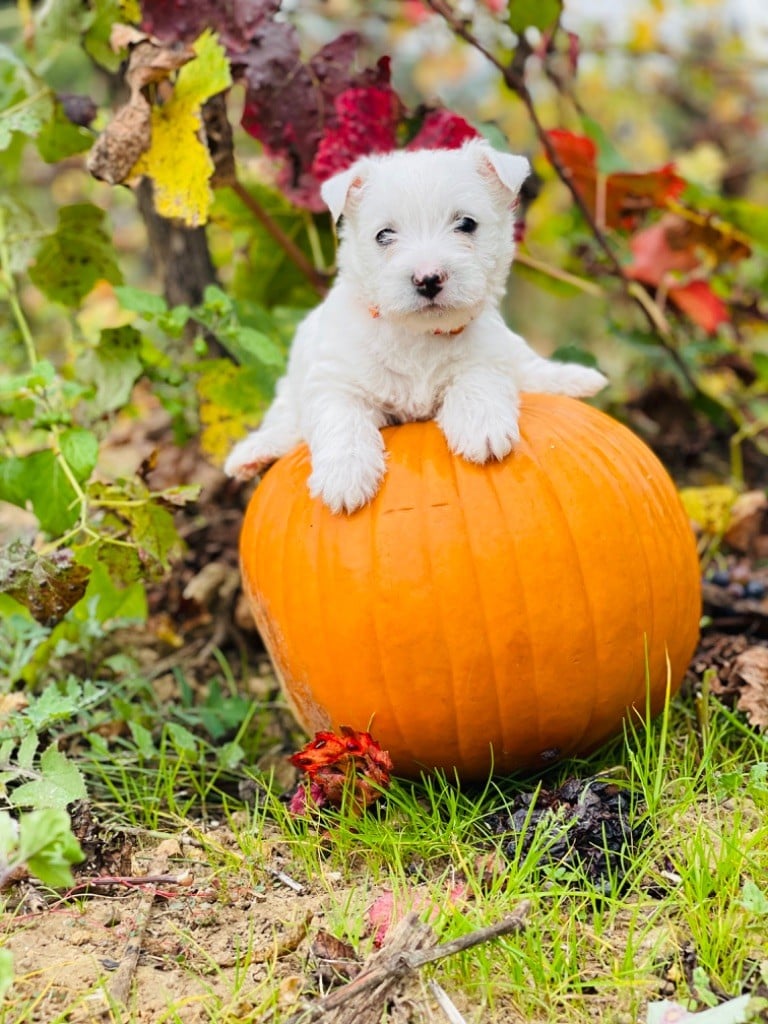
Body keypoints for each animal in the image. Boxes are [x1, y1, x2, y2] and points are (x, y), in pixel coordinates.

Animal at [225, 138, 610, 512]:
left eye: (466, 224)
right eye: (384, 235)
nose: (428, 279)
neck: (419, 333)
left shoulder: (485, 354)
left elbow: (477, 381)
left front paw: (481, 427)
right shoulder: (334, 381)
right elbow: (342, 419)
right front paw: (346, 476)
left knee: (528, 365)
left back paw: (574, 379)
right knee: (285, 419)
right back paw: (253, 452)